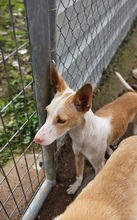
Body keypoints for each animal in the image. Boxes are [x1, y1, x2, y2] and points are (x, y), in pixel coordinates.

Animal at [33, 61, 137, 193]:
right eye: (47, 111)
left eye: (61, 120)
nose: (36, 139)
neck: (83, 137)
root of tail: (133, 93)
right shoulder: (78, 156)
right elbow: (79, 175)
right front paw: (75, 186)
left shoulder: (99, 166)